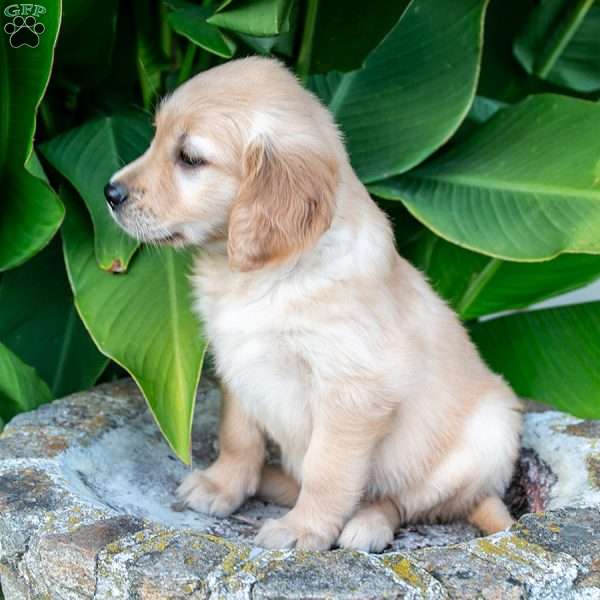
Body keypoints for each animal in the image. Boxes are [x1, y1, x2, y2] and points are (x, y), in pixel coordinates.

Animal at [105, 57, 524, 552]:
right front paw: (224, 484)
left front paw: (303, 528)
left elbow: (328, 470)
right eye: (155, 137)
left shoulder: (352, 390)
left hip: (488, 435)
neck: (260, 276)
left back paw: (366, 524)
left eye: (190, 158)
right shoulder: (238, 362)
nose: (110, 193)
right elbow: (237, 435)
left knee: (405, 501)